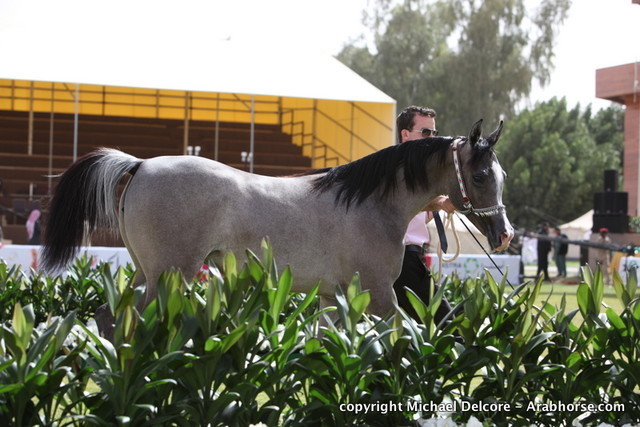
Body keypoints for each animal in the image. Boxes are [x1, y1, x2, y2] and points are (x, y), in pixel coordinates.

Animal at [41, 119, 513, 332]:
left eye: (501, 173)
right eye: (479, 176)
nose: (504, 234)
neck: (370, 204)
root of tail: (140, 164)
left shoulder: (333, 297)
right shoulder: (380, 294)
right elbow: (405, 332)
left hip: (147, 270)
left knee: (110, 315)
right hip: (169, 274)